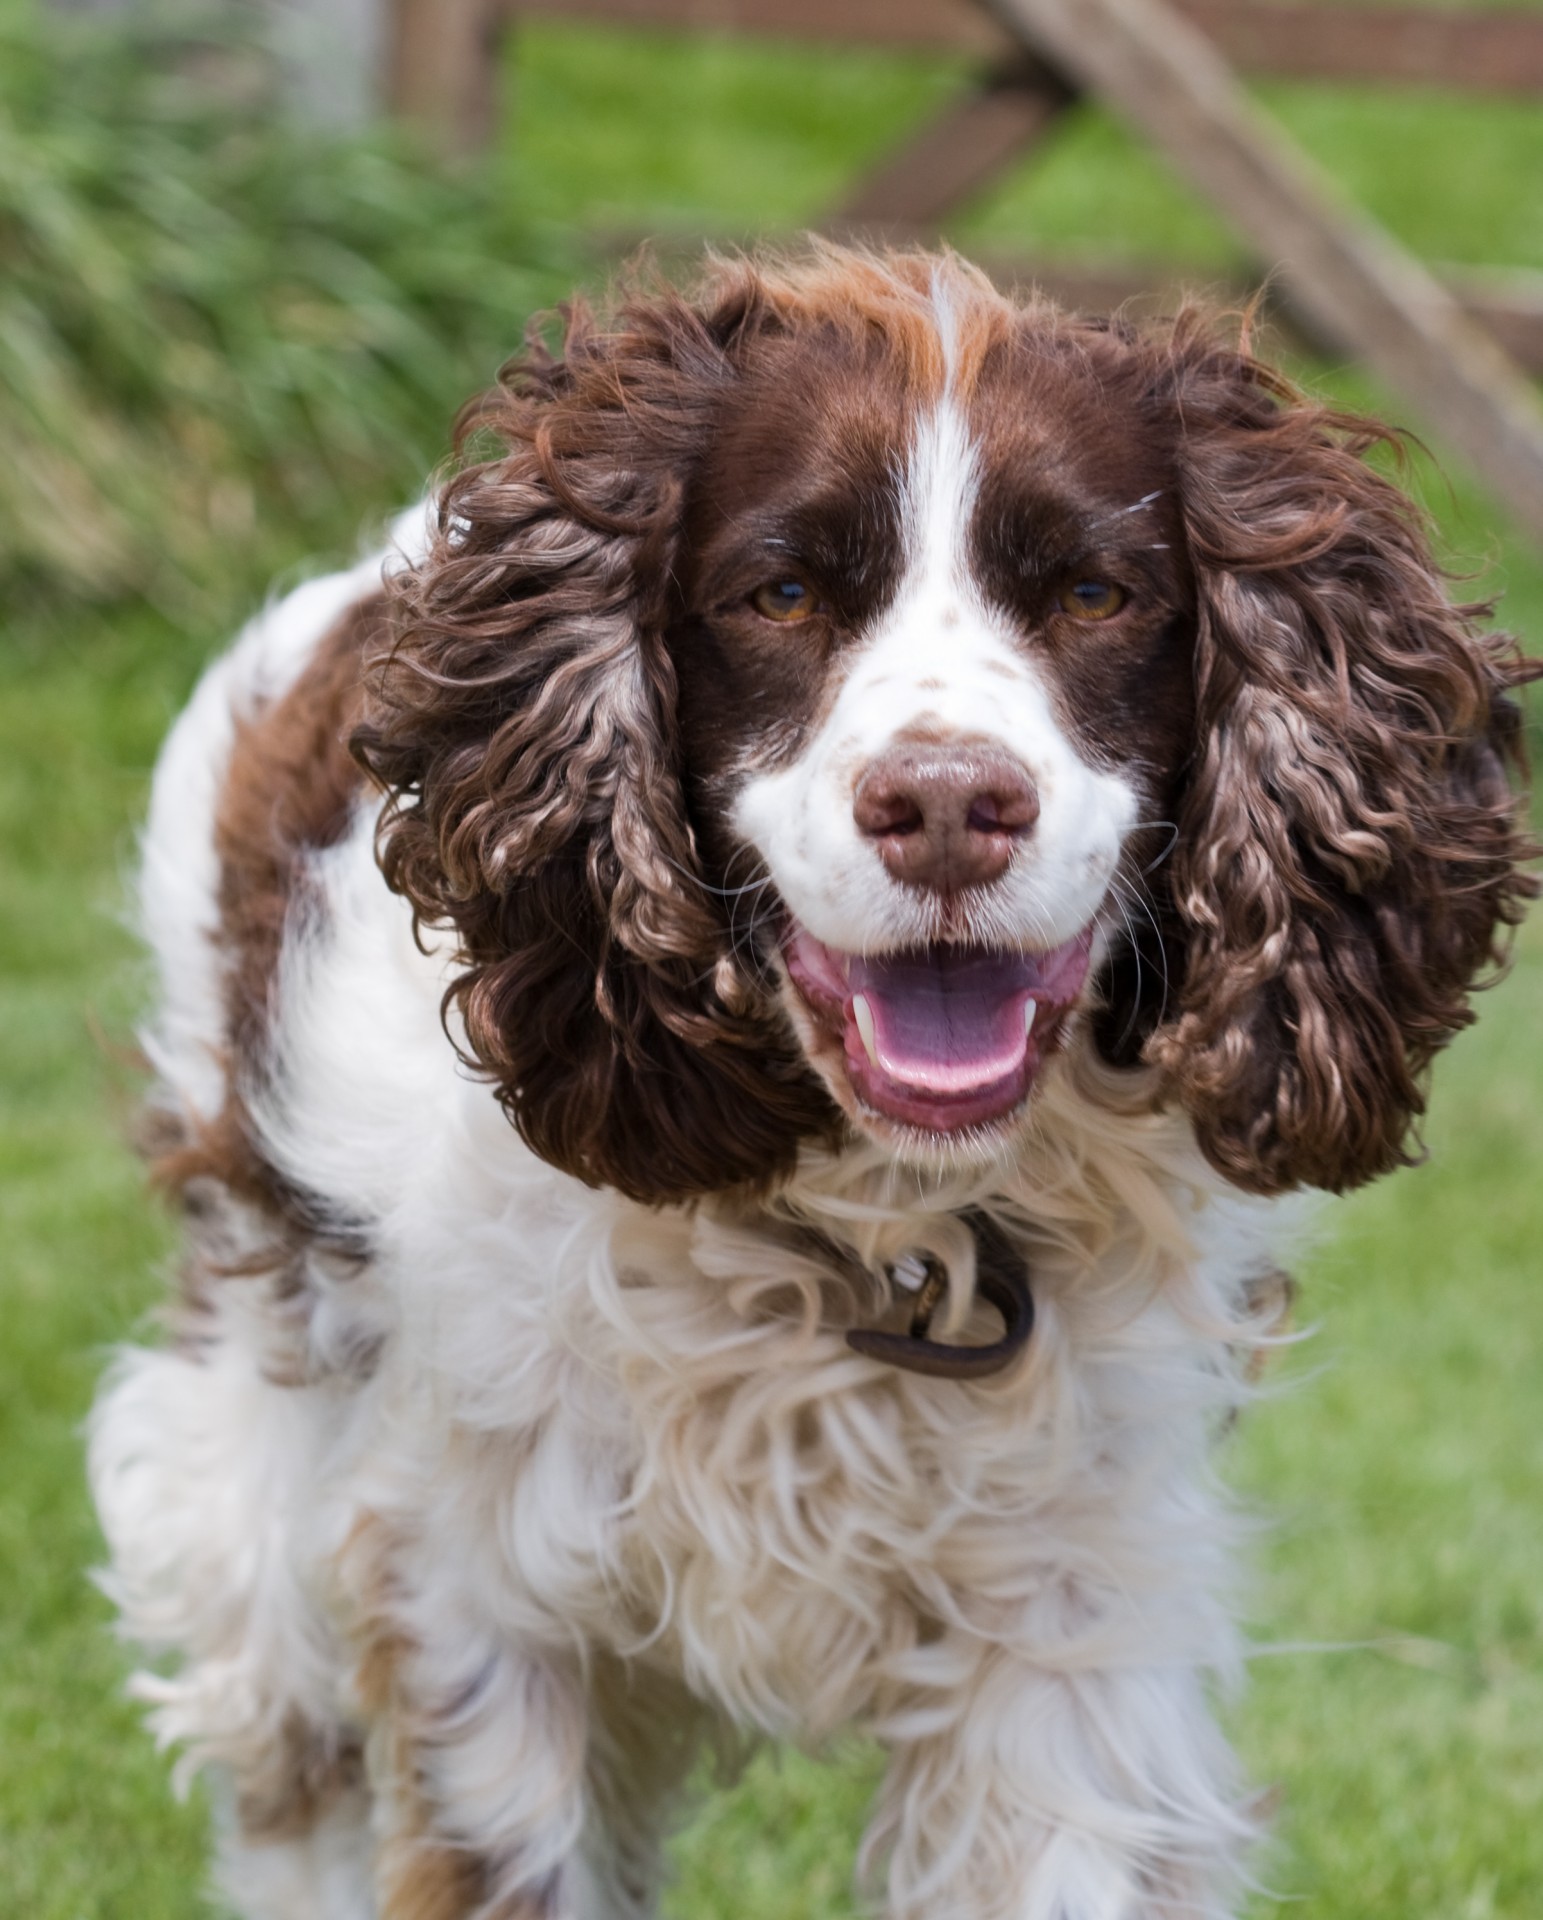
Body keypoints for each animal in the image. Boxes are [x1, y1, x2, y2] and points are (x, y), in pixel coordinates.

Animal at [90, 247, 1535, 1920]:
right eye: (779, 594)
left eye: (1093, 595)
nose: (948, 804)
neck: (862, 1234)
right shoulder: (469, 1586)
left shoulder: (1069, 1618)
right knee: (280, 1746)